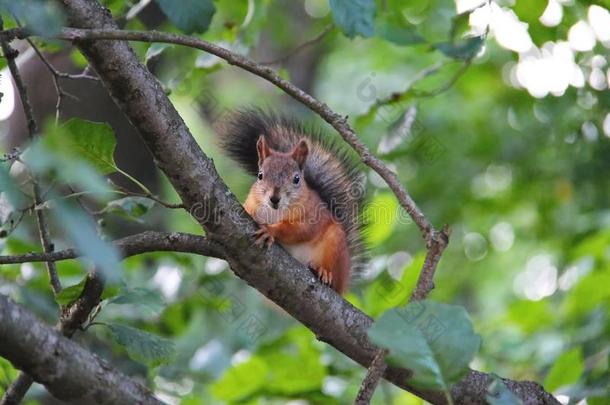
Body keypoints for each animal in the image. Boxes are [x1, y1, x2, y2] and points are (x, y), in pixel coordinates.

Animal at [216, 110, 364, 294]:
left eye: (296, 179)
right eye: (260, 175)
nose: (274, 198)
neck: (275, 211)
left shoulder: (311, 215)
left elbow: (298, 230)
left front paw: (270, 231)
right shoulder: (252, 203)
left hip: (335, 245)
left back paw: (324, 272)